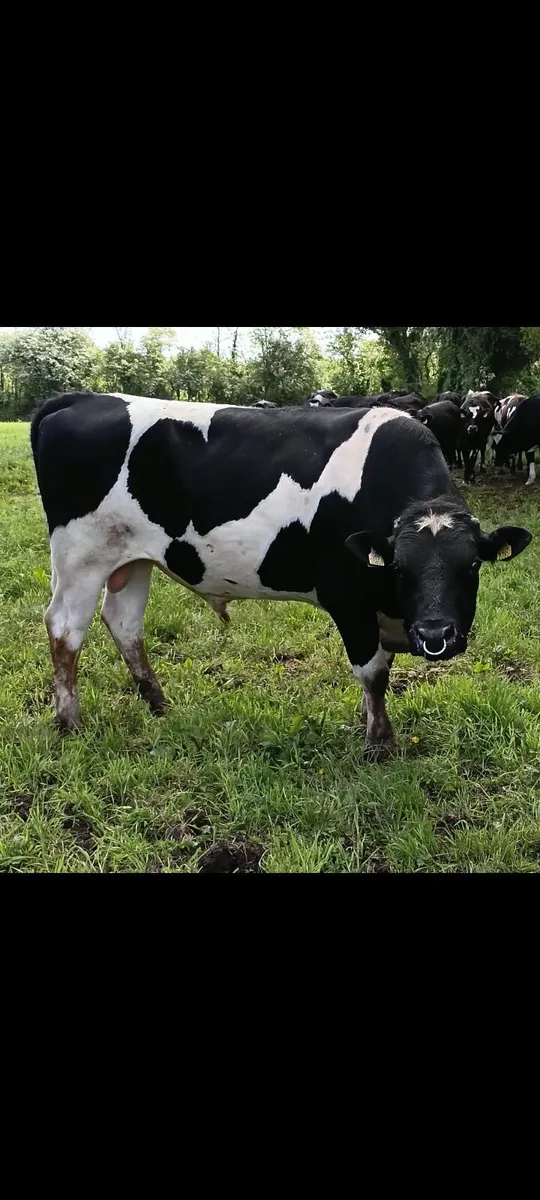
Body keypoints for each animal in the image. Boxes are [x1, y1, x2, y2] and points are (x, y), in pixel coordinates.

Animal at [30, 391, 532, 752]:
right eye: (400, 568)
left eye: (471, 564)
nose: (435, 635)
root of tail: (80, 398)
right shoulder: (347, 595)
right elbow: (373, 671)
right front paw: (380, 742)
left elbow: (381, 668)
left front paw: (369, 723)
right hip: (81, 557)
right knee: (65, 629)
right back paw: (70, 721)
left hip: (131, 559)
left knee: (124, 623)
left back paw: (158, 702)